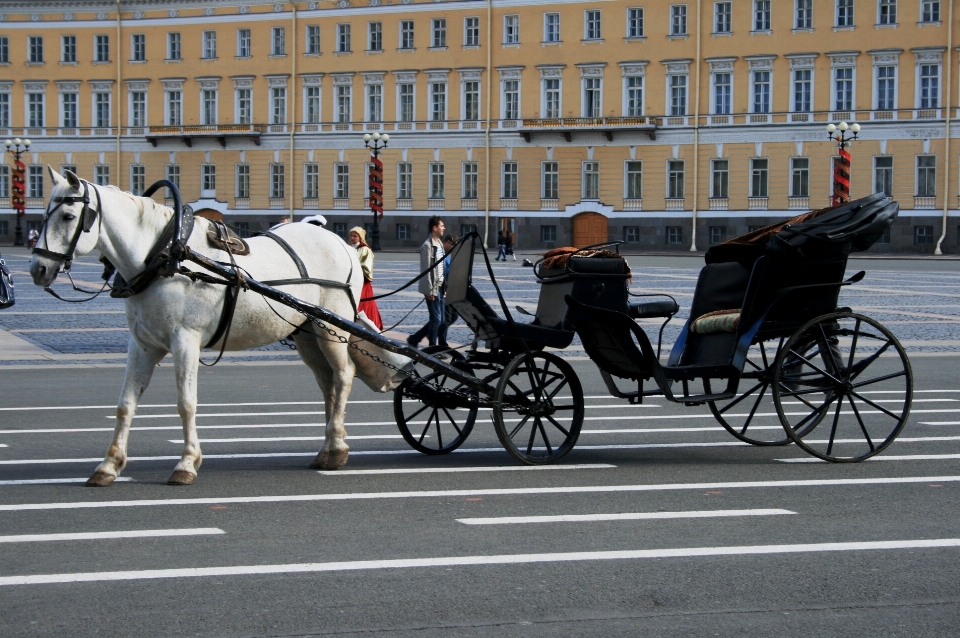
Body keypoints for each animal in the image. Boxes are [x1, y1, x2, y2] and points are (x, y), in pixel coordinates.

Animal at [31, 168, 408, 488]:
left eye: (68, 216)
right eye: (44, 213)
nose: (38, 269)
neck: (167, 257)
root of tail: (342, 244)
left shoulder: (185, 341)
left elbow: (186, 402)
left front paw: (186, 463)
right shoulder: (142, 344)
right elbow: (125, 404)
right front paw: (109, 466)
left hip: (330, 329)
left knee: (343, 376)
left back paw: (338, 449)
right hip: (307, 335)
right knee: (327, 383)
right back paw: (327, 447)